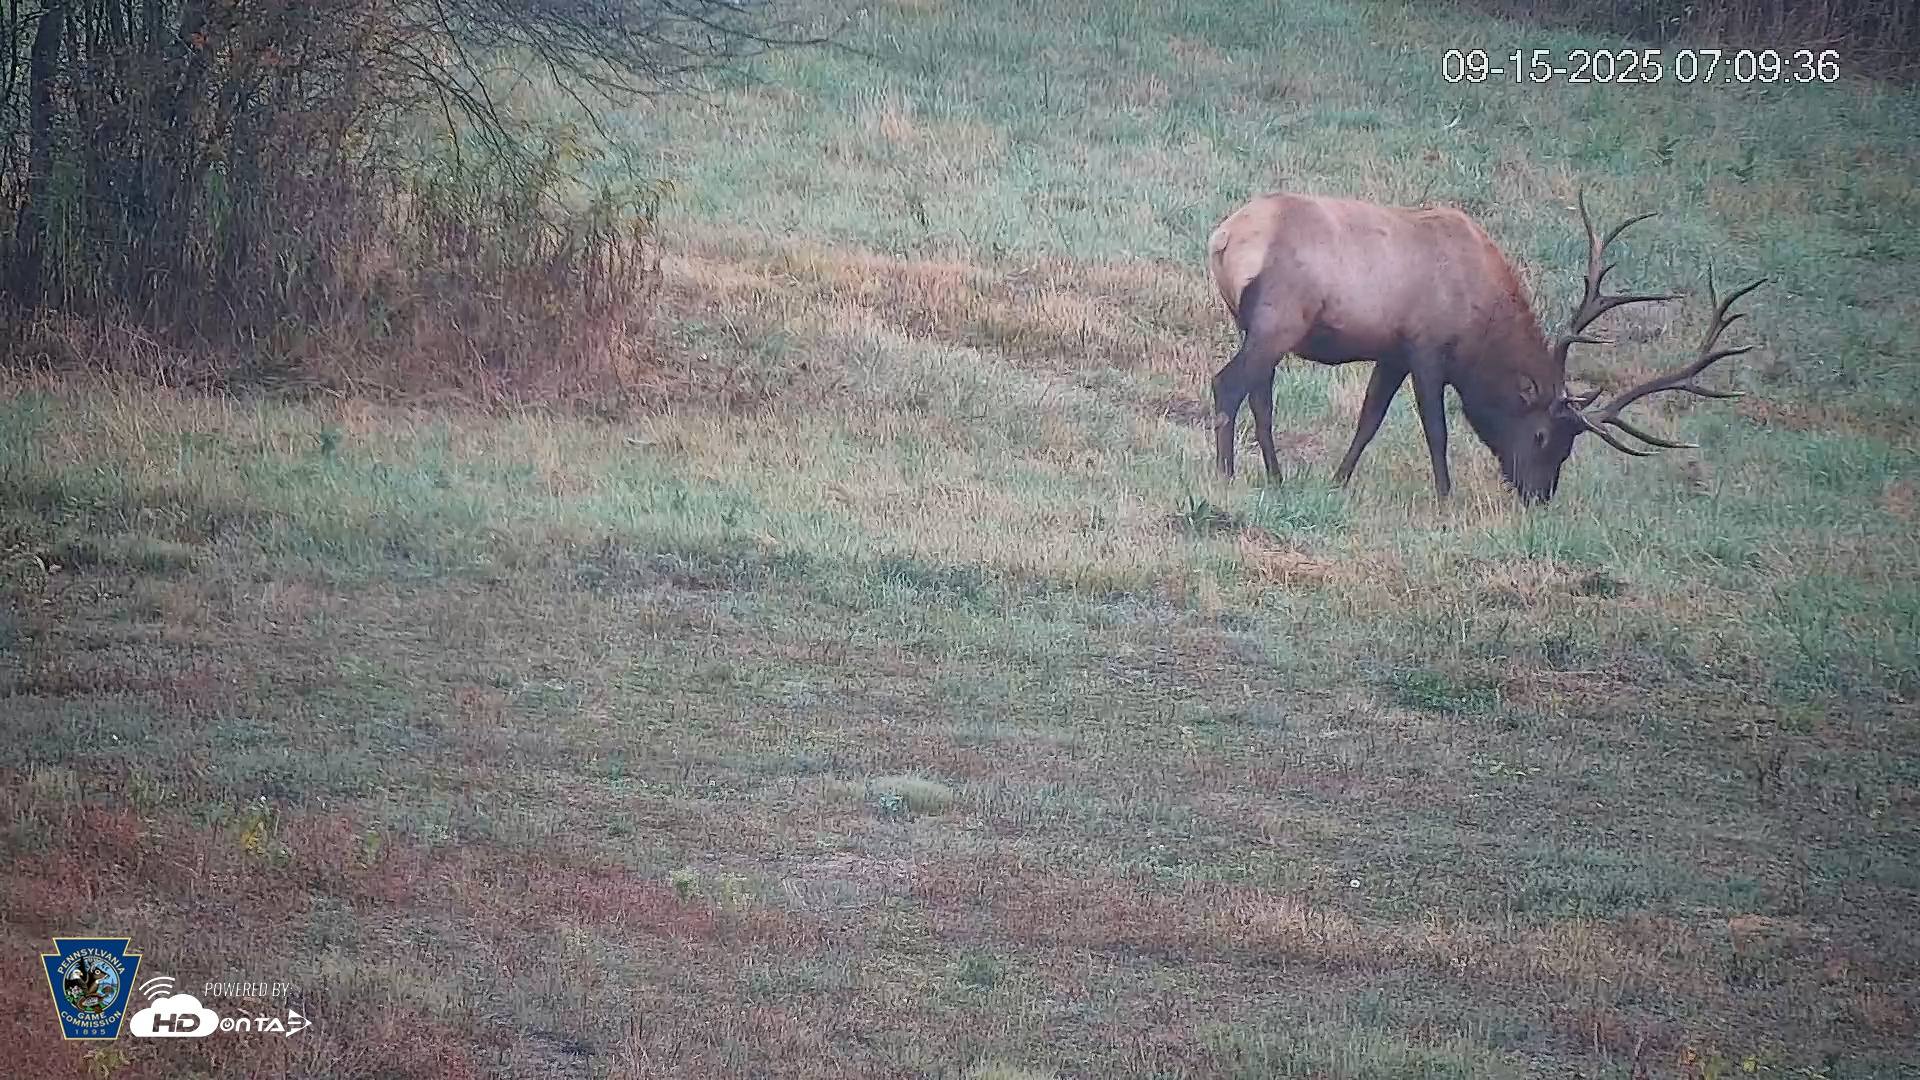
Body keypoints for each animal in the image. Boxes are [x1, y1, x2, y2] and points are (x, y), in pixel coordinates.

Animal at [1204, 190, 1768, 504]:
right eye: (1543, 436)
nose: (1538, 496)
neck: (1481, 316)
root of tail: (1223, 237)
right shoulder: (1427, 347)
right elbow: (1436, 429)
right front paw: (1445, 496)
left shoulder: (1392, 351)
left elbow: (1369, 419)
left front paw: (1338, 482)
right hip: (1278, 318)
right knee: (1227, 384)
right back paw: (1226, 476)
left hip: (1258, 326)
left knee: (1259, 395)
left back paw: (1276, 476)